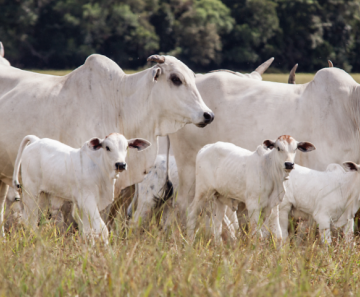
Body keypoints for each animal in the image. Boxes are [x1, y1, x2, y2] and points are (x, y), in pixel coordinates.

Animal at [13, 133, 150, 242]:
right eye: (107, 147)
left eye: (126, 147)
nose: (120, 164)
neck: (101, 170)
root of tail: (36, 140)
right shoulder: (88, 201)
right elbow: (102, 230)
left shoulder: (84, 206)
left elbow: (87, 232)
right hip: (31, 193)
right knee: (30, 220)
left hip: (43, 196)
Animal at [186, 135, 316, 242]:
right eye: (278, 148)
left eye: (295, 149)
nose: (289, 164)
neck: (270, 170)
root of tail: (206, 147)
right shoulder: (253, 206)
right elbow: (257, 234)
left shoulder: (273, 206)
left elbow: (278, 235)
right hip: (203, 192)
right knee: (192, 213)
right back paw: (189, 242)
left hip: (219, 197)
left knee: (218, 222)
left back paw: (219, 246)